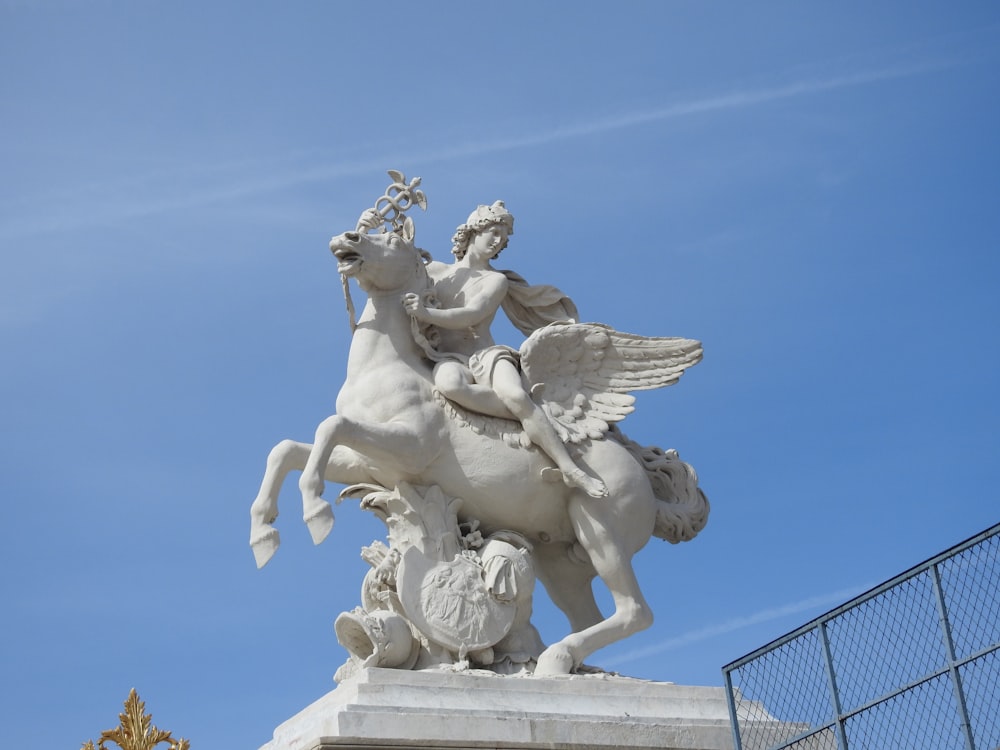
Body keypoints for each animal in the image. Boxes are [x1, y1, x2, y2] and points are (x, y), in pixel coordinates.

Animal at [246, 225, 708, 676]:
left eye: (391, 239)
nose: (346, 239)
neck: (383, 368)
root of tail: (645, 482)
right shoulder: (369, 464)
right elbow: (287, 449)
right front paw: (264, 533)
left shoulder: (409, 447)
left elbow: (330, 427)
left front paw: (316, 513)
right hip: (559, 559)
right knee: (593, 617)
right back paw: (559, 663)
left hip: (601, 528)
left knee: (635, 611)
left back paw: (554, 655)